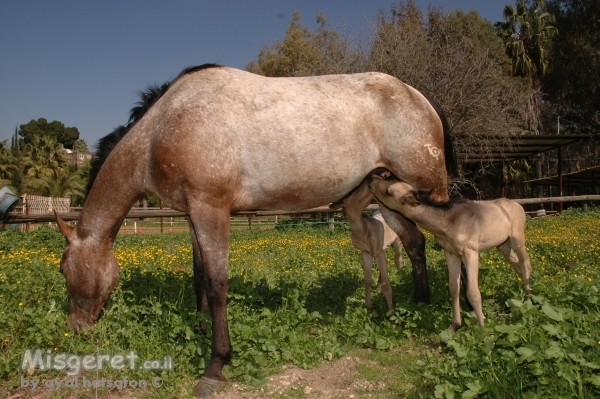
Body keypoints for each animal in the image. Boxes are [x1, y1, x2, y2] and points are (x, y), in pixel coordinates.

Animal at [57, 63, 460, 396]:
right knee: (414, 243)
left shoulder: (211, 209)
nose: (76, 329)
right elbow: (200, 278)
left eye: (62, 269)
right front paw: (201, 328)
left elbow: (217, 285)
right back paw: (416, 306)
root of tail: (420, 98)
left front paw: (216, 365)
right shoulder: (193, 214)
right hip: (389, 194)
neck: (165, 126)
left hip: (428, 195)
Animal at [368, 176, 532, 332]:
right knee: (517, 265)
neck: (448, 222)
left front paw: (483, 330)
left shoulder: (470, 253)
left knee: (525, 264)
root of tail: (518, 205)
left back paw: (529, 298)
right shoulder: (451, 253)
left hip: (517, 240)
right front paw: (455, 325)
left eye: (389, 191)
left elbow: (473, 292)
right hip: (503, 246)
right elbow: (453, 288)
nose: (371, 179)